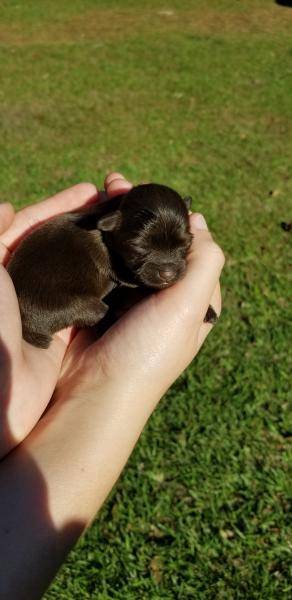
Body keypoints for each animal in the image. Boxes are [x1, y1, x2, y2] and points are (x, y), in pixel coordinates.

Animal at [6, 185, 217, 350]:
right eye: (139, 248)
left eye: (185, 244)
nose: (168, 273)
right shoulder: (128, 277)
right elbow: (145, 286)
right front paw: (208, 310)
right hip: (80, 305)